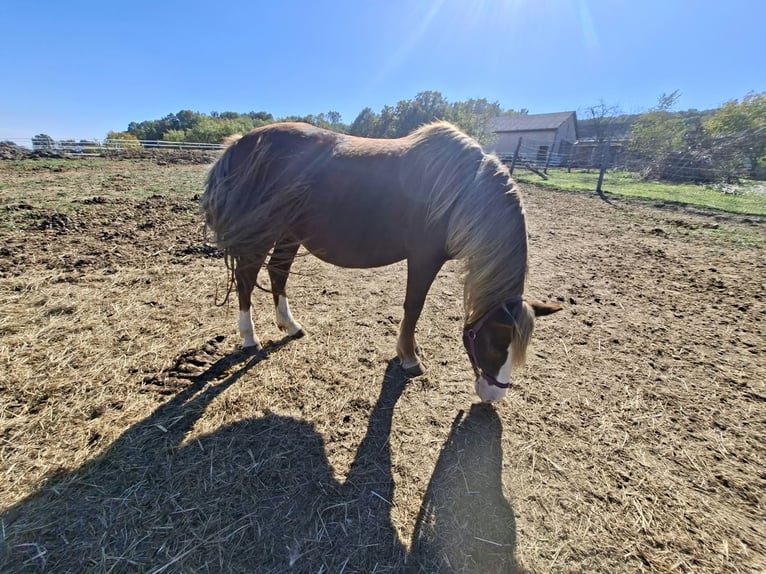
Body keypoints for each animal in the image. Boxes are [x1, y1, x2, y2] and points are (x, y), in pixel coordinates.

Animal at [200, 121, 561, 402]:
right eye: (497, 343)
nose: (493, 397)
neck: (463, 190)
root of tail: (239, 144)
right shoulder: (424, 258)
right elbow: (413, 307)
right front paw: (409, 357)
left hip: (289, 233)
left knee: (278, 273)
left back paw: (290, 325)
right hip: (261, 233)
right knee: (247, 278)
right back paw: (249, 338)